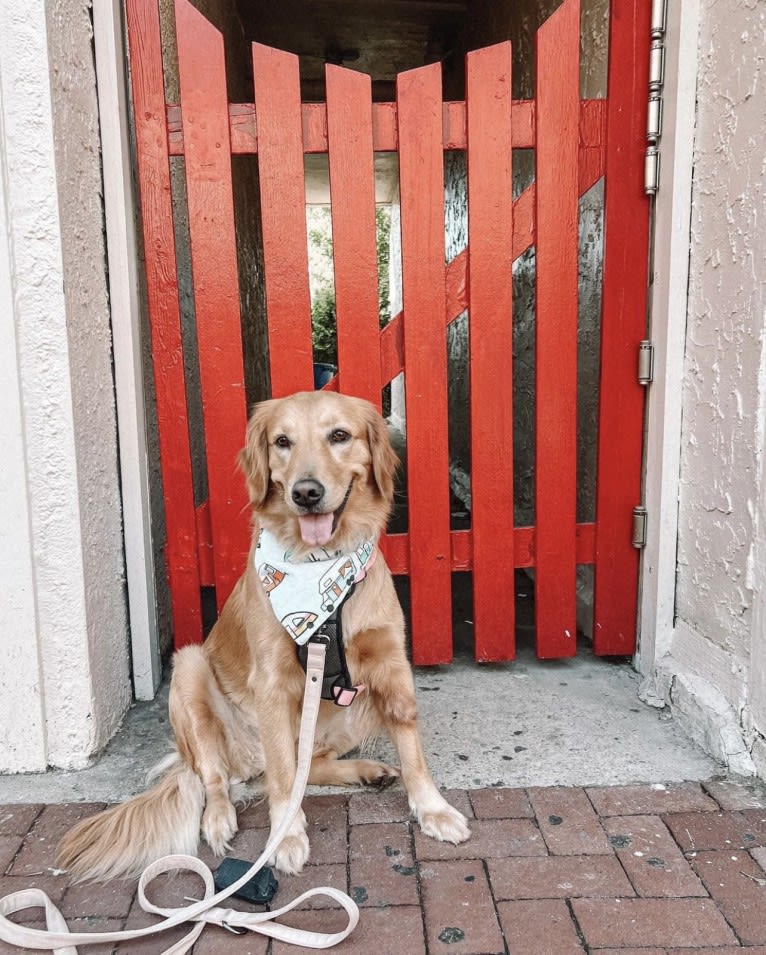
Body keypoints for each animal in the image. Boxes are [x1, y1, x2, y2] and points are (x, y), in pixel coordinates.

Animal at [58, 390, 468, 880]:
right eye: (282, 441)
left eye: (340, 435)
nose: (306, 493)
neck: (320, 567)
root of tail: (245, 761)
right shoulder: (270, 682)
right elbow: (283, 779)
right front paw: (286, 839)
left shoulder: (391, 665)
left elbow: (412, 750)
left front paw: (433, 809)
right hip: (190, 669)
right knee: (223, 776)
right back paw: (218, 818)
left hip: (357, 705)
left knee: (309, 765)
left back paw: (367, 770)